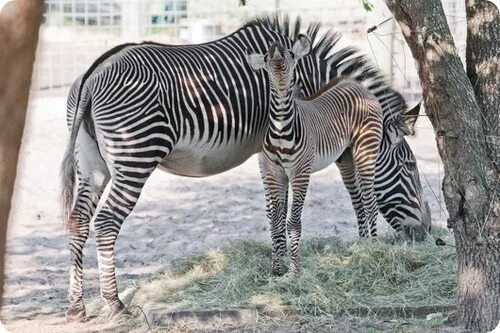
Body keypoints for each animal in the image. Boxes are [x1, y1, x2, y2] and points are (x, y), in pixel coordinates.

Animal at [246, 37, 382, 274]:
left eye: (290, 53)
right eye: (266, 56)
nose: (276, 48)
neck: (281, 127)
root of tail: (357, 85)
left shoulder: (300, 173)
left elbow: (292, 222)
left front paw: (294, 271)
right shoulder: (274, 173)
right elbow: (275, 221)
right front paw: (276, 270)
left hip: (366, 150)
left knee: (370, 202)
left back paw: (373, 250)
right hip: (346, 157)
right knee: (358, 203)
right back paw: (363, 247)